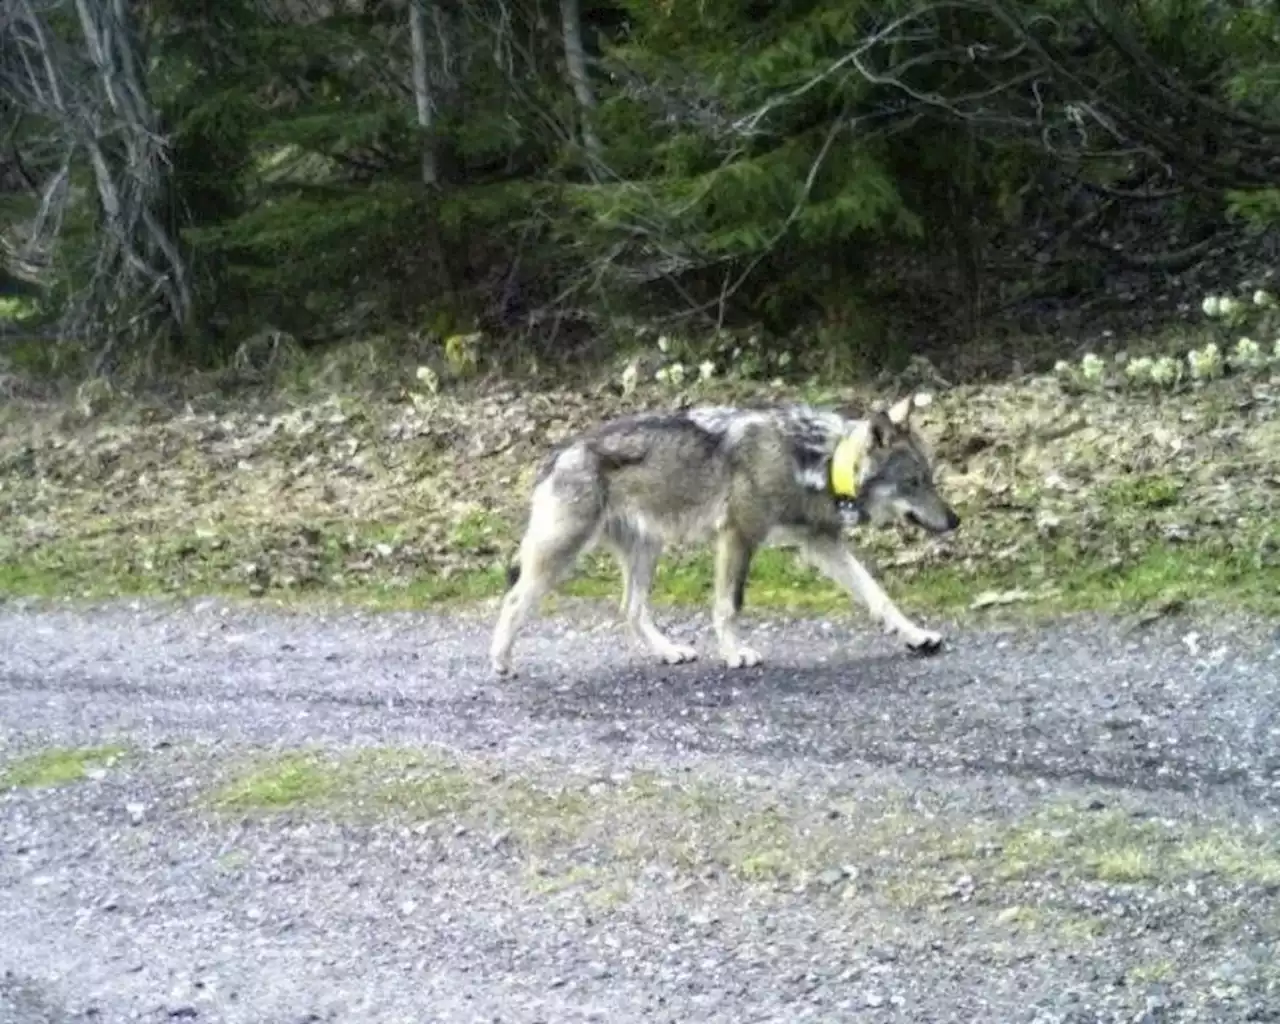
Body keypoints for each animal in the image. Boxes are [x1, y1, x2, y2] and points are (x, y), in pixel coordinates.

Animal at [488, 389, 962, 670]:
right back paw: (500, 661)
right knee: (513, 600)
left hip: (646, 553)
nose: (955, 521)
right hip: (562, 555)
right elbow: (728, 606)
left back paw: (670, 652)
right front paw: (735, 654)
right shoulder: (738, 536)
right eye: (914, 482)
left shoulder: (822, 543)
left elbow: (878, 595)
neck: (816, 460)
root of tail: (559, 452)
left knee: (630, 611)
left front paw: (916, 636)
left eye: (931, 479)